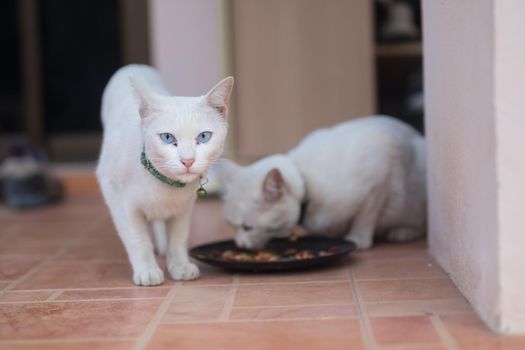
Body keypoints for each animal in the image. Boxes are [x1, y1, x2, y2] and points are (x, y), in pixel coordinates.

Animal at [95, 64, 233, 286]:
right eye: (167, 138)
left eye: (204, 137)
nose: (188, 160)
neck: (166, 187)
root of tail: (134, 66)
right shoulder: (117, 198)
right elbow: (137, 238)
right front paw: (147, 270)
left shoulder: (185, 206)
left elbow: (178, 238)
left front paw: (179, 266)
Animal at [217, 116, 426, 250]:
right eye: (231, 226)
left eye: (247, 228)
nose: (239, 245)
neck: (306, 184)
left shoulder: (380, 173)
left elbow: (365, 217)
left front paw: (358, 239)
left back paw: (402, 232)